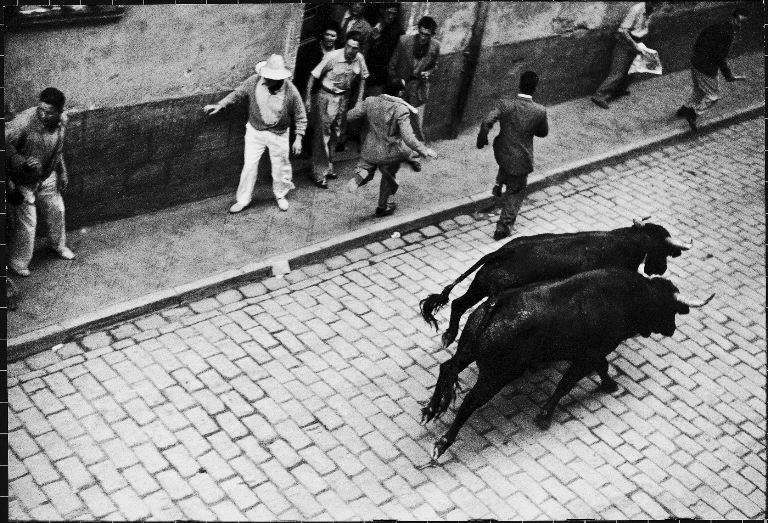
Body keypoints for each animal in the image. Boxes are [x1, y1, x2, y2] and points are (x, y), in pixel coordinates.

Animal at [424, 221, 692, 348]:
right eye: (663, 250)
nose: (661, 270)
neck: (625, 242)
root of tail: (503, 251)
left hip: (479, 286)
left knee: (458, 303)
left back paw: (449, 335)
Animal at [424, 268, 712, 460]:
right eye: (668, 307)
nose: (672, 329)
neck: (627, 297)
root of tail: (495, 303)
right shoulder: (589, 354)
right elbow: (567, 383)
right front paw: (544, 415)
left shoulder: (592, 353)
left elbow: (601, 368)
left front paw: (610, 385)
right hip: (497, 375)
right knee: (468, 402)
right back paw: (443, 443)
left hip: (467, 352)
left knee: (447, 367)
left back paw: (430, 409)